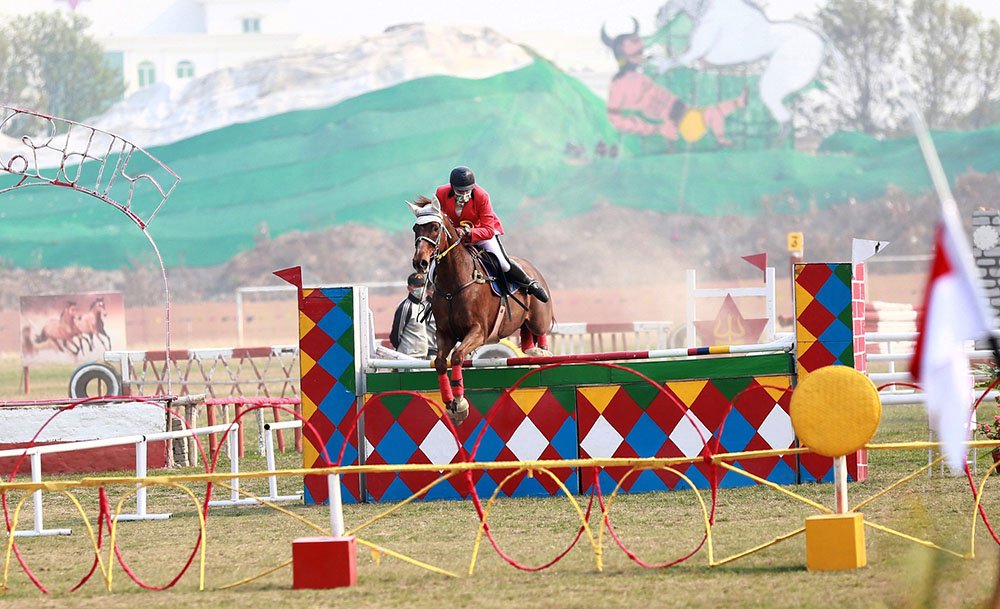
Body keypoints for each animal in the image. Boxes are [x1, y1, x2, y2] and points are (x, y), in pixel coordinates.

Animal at [408, 195, 554, 425]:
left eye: (434, 227)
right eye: (415, 228)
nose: (419, 263)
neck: (454, 283)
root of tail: (532, 267)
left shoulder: (478, 332)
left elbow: (457, 356)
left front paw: (460, 404)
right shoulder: (445, 334)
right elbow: (440, 362)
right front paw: (450, 404)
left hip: (538, 318)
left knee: (538, 330)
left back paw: (541, 349)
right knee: (526, 335)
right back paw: (533, 350)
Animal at [653, 0, 827, 133]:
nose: (658, 15)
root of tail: (822, 43)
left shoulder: (697, 52)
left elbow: (674, 61)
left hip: (776, 80)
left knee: (785, 119)